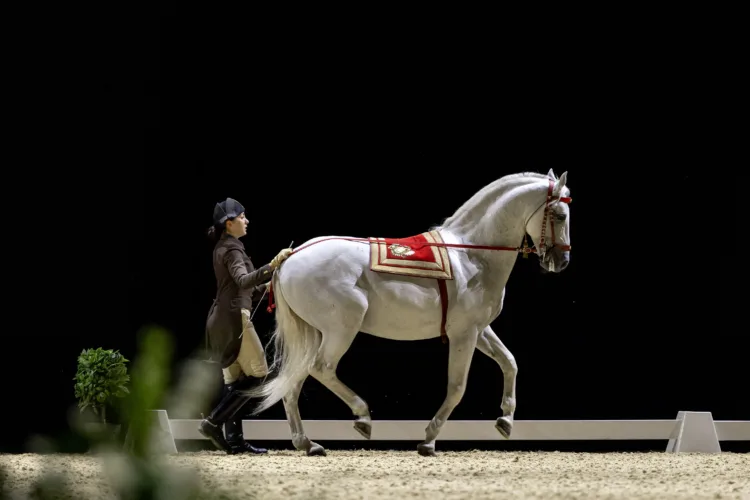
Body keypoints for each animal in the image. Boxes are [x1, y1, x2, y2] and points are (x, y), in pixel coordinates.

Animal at [250, 170, 572, 456]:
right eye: (560, 216)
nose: (562, 261)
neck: (470, 254)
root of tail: (291, 256)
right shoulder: (464, 334)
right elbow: (457, 387)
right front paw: (428, 440)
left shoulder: (480, 331)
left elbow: (509, 363)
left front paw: (505, 421)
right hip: (341, 329)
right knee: (322, 369)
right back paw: (362, 417)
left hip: (317, 334)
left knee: (294, 384)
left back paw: (308, 444)